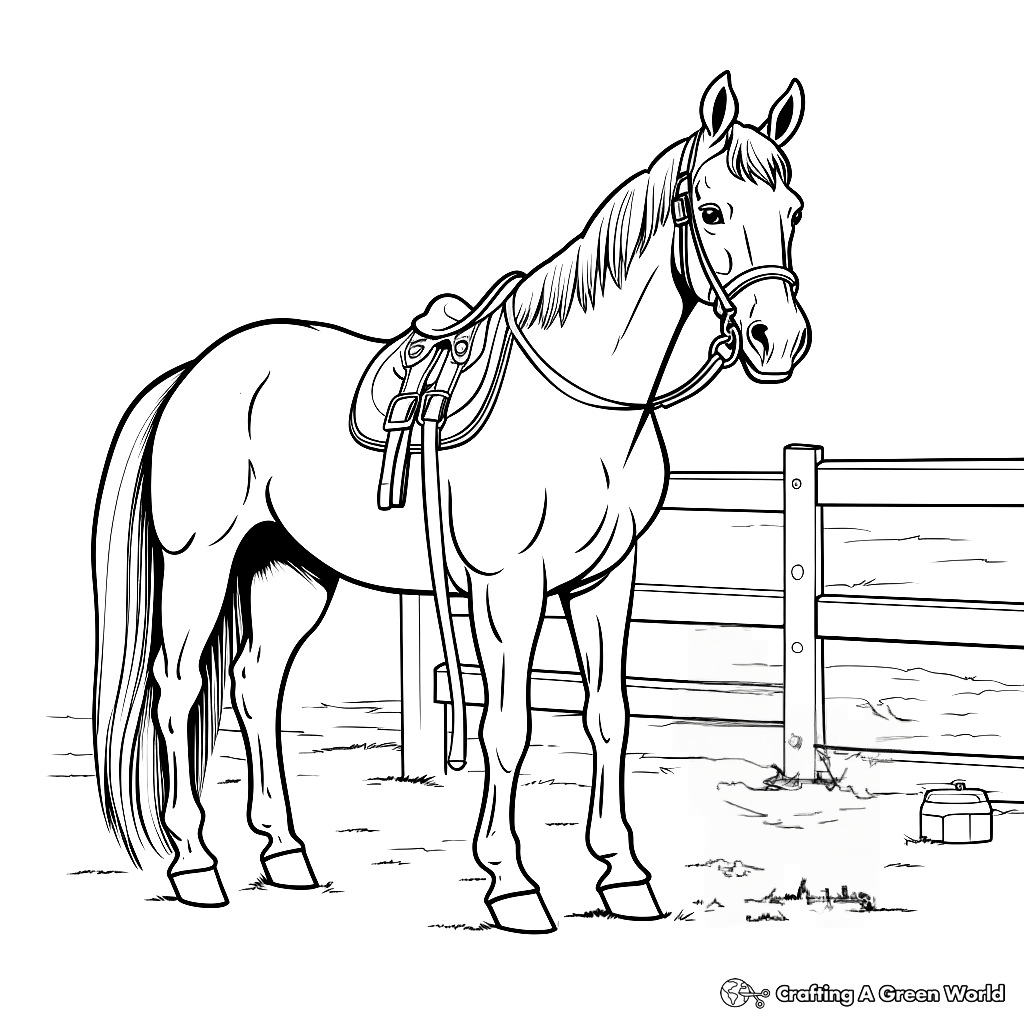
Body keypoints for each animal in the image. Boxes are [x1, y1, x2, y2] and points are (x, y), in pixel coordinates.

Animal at [92, 71, 811, 933]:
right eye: (711, 211)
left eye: (793, 211)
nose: (779, 339)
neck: (581, 405)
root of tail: (194, 373)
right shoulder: (510, 588)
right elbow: (508, 728)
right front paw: (513, 884)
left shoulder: (607, 581)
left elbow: (609, 715)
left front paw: (624, 875)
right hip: (200, 563)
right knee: (178, 689)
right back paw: (196, 864)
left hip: (290, 571)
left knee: (256, 688)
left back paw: (287, 854)